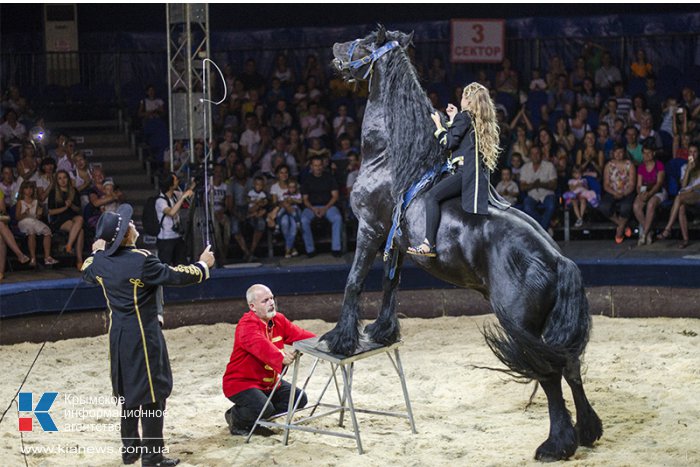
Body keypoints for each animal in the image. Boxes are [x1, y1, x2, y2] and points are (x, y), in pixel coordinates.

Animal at [322, 27, 600, 462]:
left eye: (366, 42)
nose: (335, 49)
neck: (394, 159)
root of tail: (558, 261)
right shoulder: (395, 243)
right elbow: (389, 285)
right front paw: (383, 332)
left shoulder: (369, 229)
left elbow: (354, 283)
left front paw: (340, 339)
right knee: (569, 366)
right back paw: (586, 432)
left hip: (520, 325)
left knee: (549, 373)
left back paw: (555, 444)